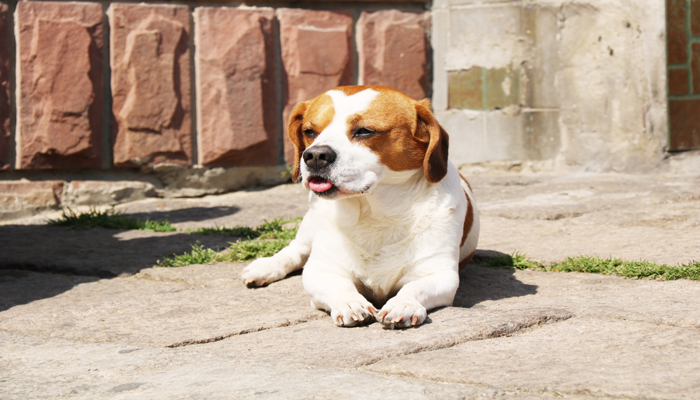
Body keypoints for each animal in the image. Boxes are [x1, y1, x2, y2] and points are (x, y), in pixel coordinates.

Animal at [239, 85, 476, 328]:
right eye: (309, 131)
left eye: (364, 131)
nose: (314, 155)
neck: (375, 213)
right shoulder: (321, 270)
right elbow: (339, 285)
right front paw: (350, 302)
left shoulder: (440, 275)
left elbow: (413, 287)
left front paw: (404, 304)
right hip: (309, 225)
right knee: (295, 251)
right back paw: (267, 267)